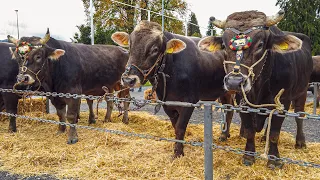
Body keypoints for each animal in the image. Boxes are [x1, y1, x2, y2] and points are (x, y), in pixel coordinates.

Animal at [111, 20, 234, 158]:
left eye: (155, 49)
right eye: (130, 46)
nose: (128, 80)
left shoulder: (189, 102)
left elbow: (180, 127)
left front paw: (178, 153)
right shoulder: (167, 103)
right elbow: (175, 126)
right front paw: (178, 148)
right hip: (224, 92)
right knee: (229, 109)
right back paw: (224, 135)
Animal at [200, 10, 312, 168]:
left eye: (260, 45)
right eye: (224, 45)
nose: (234, 82)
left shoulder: (283, 102)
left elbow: (274, 134)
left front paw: (274, 159)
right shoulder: (243, 102)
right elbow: (249, 131)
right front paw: (248, 156)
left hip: (302, 92)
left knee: (299, 115)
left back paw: (300, 142)